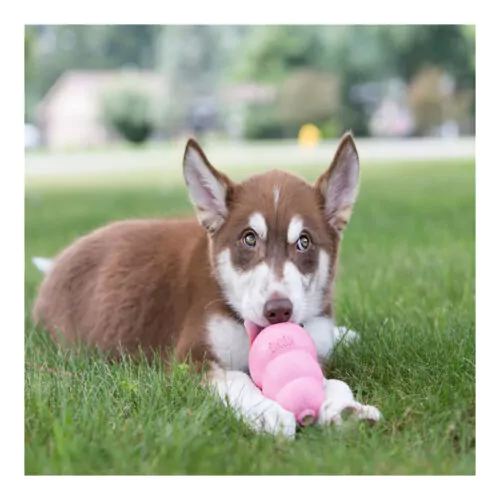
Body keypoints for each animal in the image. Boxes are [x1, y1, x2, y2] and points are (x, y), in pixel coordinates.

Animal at [33, 133, 380, 438]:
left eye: (304, 242)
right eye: (249, 239)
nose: (279, 311)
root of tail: (57, 263)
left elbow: (331, 380)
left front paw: (346, 408)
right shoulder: (190, 359)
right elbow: (236, 379)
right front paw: (267, 412)